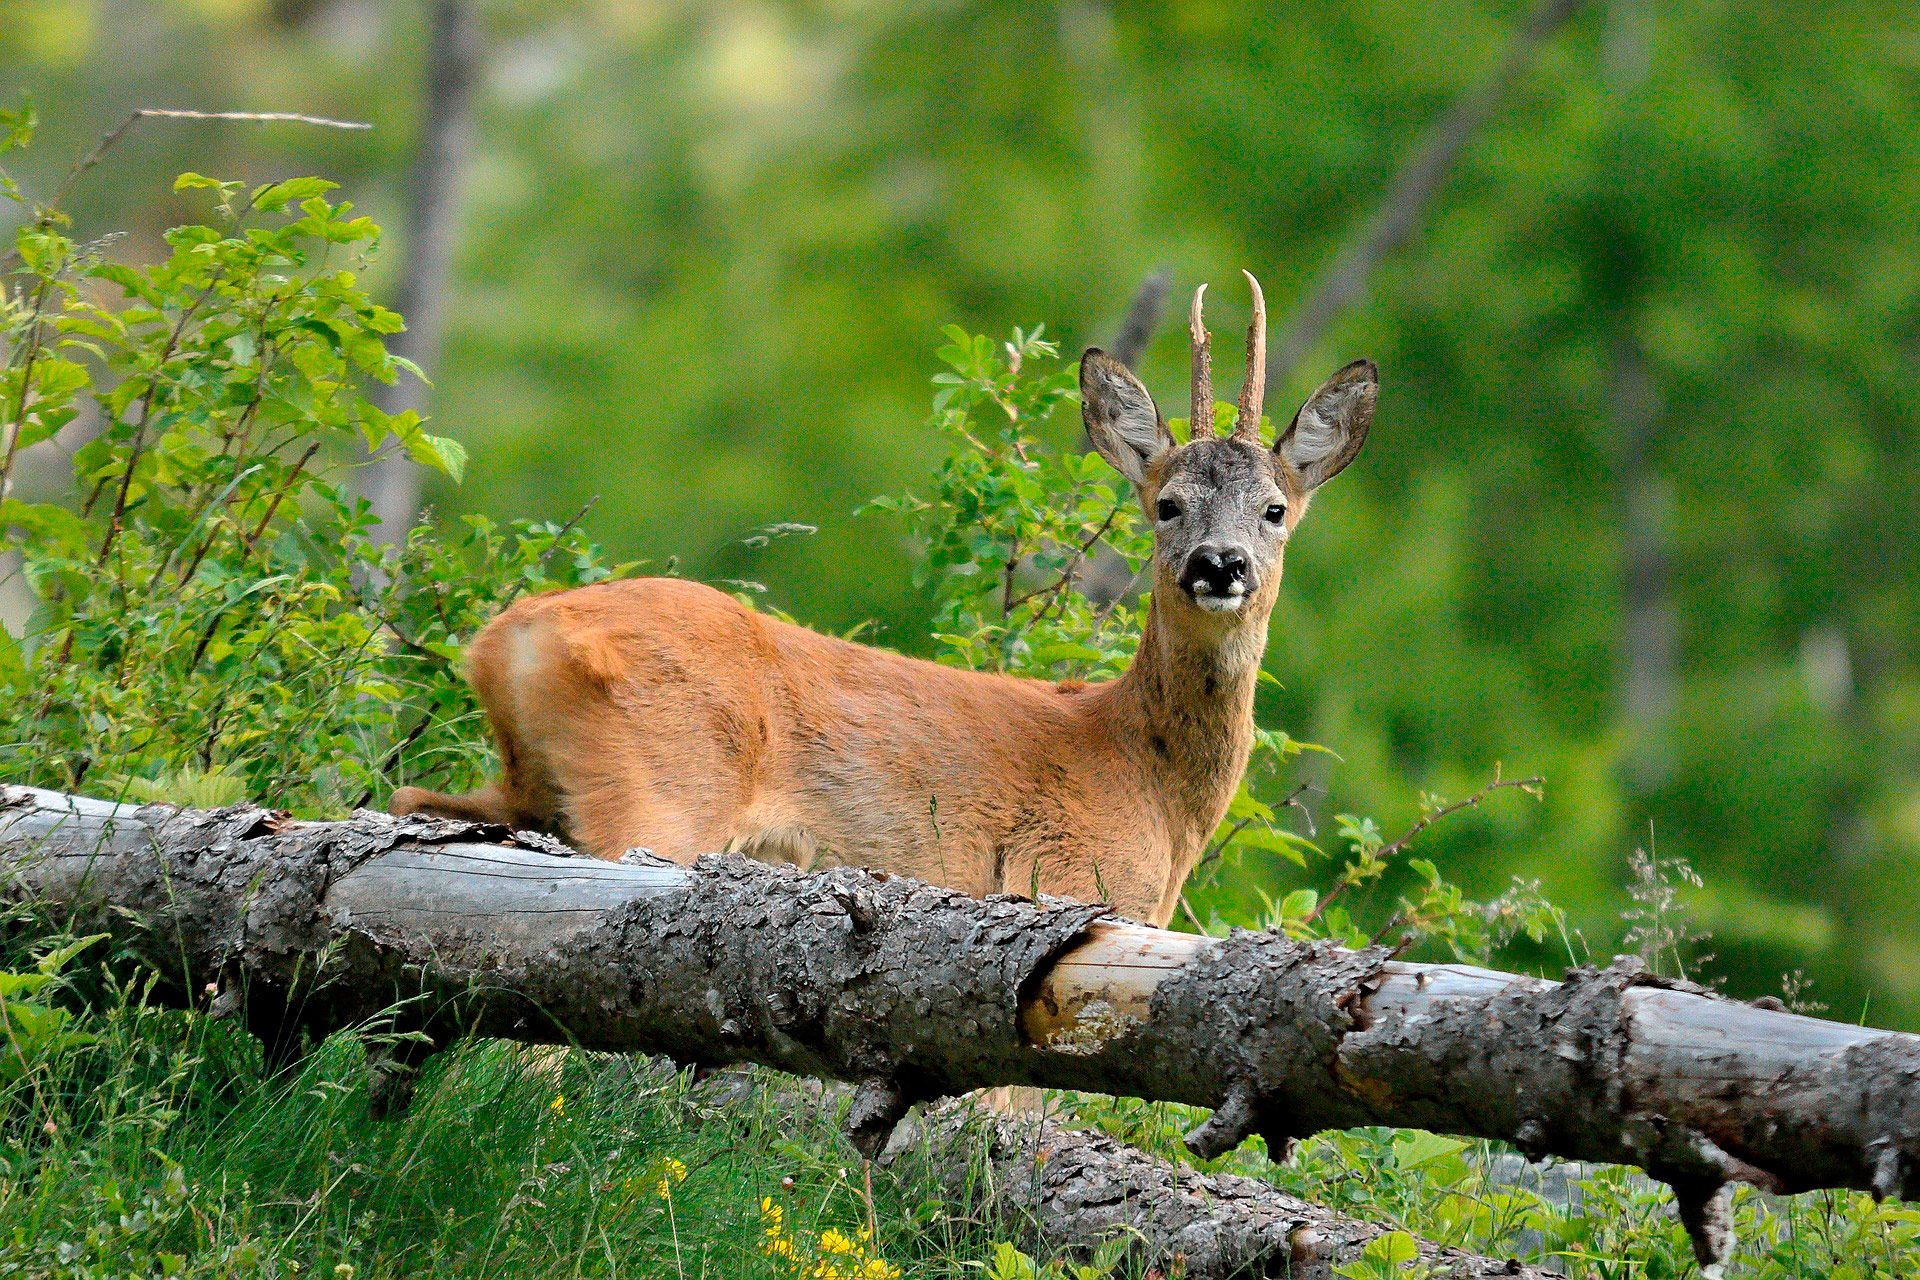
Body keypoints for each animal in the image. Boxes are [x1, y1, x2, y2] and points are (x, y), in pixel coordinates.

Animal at [393, 272, 1382, 932]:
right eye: (1167, 504)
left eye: (1276, 509)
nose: (1220, 564)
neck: (1151, 779)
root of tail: (511, 637)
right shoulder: (1064, 886)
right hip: (656, 796)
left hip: (521, 789)